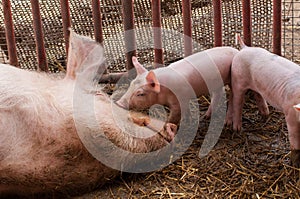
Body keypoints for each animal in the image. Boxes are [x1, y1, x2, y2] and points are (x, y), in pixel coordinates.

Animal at [227, 35, 300, 166]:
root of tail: (245, 48)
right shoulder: (290, 113)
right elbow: (294, 140)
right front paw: (295, 164)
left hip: (255, 84)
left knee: (258, 95)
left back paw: (265, 116)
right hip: (237, 79)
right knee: (237, 102)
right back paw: (238, 129)